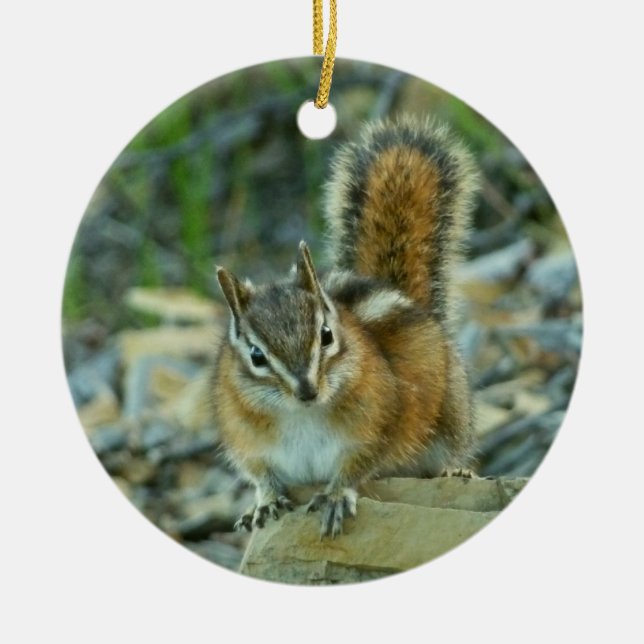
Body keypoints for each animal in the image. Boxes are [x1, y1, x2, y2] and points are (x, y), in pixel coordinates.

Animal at [212, 117, 480, 538]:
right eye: (256, 355)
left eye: (326, 336)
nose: (307, 390)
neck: (301, 415)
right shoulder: (246, 440)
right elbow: (260, 475)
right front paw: (264, 502)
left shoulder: (376, 426)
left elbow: (357, 466)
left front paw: (336, 495)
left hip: (452, 412)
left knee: (453, 449)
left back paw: (456, 470)